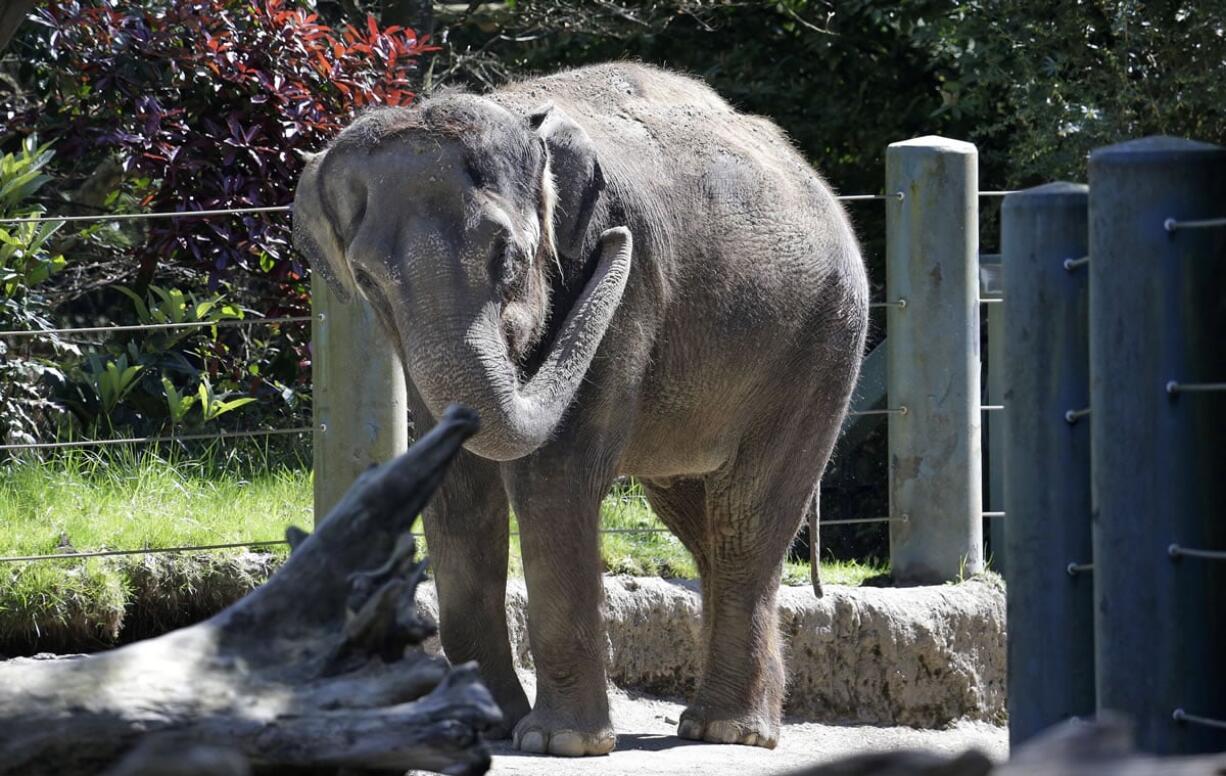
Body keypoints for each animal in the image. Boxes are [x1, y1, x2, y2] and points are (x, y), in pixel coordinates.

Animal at [291, 61, 868, 755]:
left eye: (508, 257)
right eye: (368, 280)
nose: (617, 244)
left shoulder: (626, 295)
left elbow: (554, 476)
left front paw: (558, 743)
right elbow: (458, 493)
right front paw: (483, 723)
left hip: (821, 343)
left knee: (744, 518)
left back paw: (729, 730)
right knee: (695, 515)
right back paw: (710, 719)